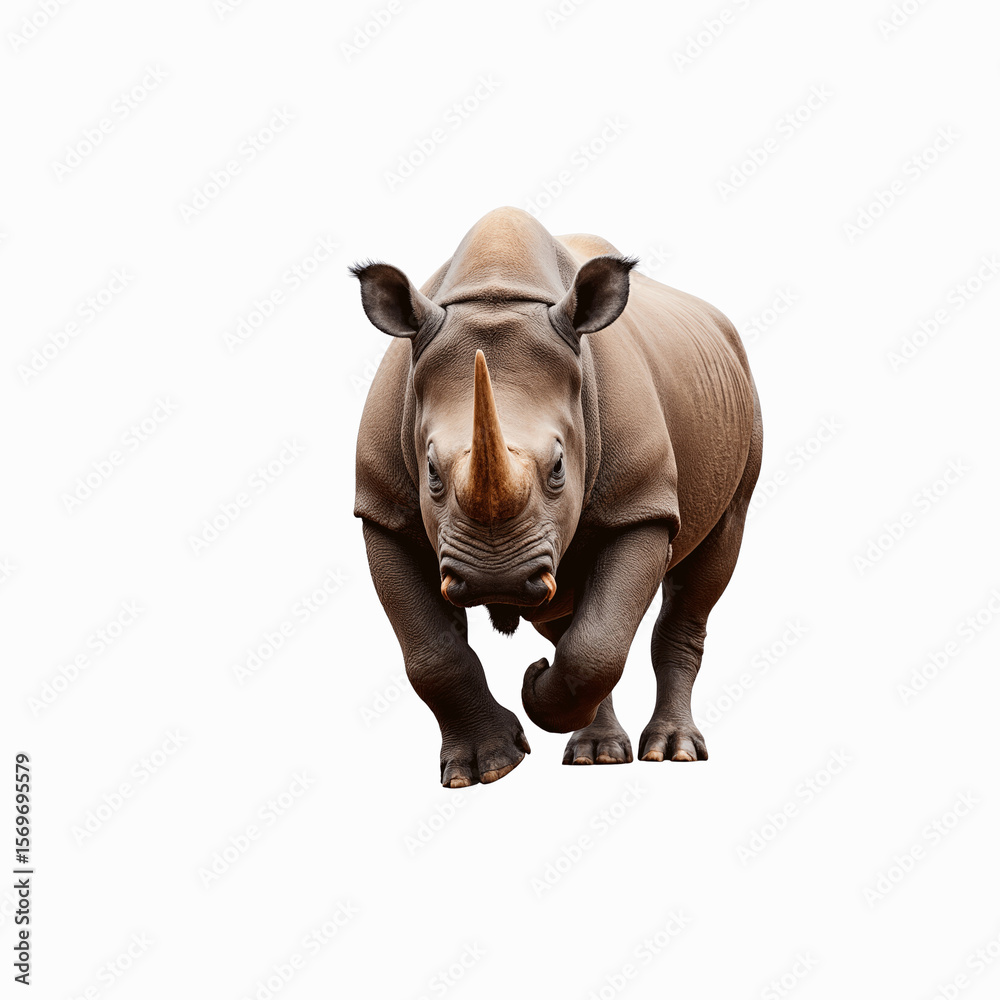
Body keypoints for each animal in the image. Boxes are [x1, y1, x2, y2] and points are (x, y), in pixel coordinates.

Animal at [352, 207, 762, 787]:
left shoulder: (639, 505)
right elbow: (432, 655)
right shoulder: (382, 510)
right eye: (430, 469)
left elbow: (597, 645)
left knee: (707, 564)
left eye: (559, 468)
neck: (497, 293)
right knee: (566, 611)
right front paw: (486, 768)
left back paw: (673, 752)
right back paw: (596, 752)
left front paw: (533, 691)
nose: (495, 580)